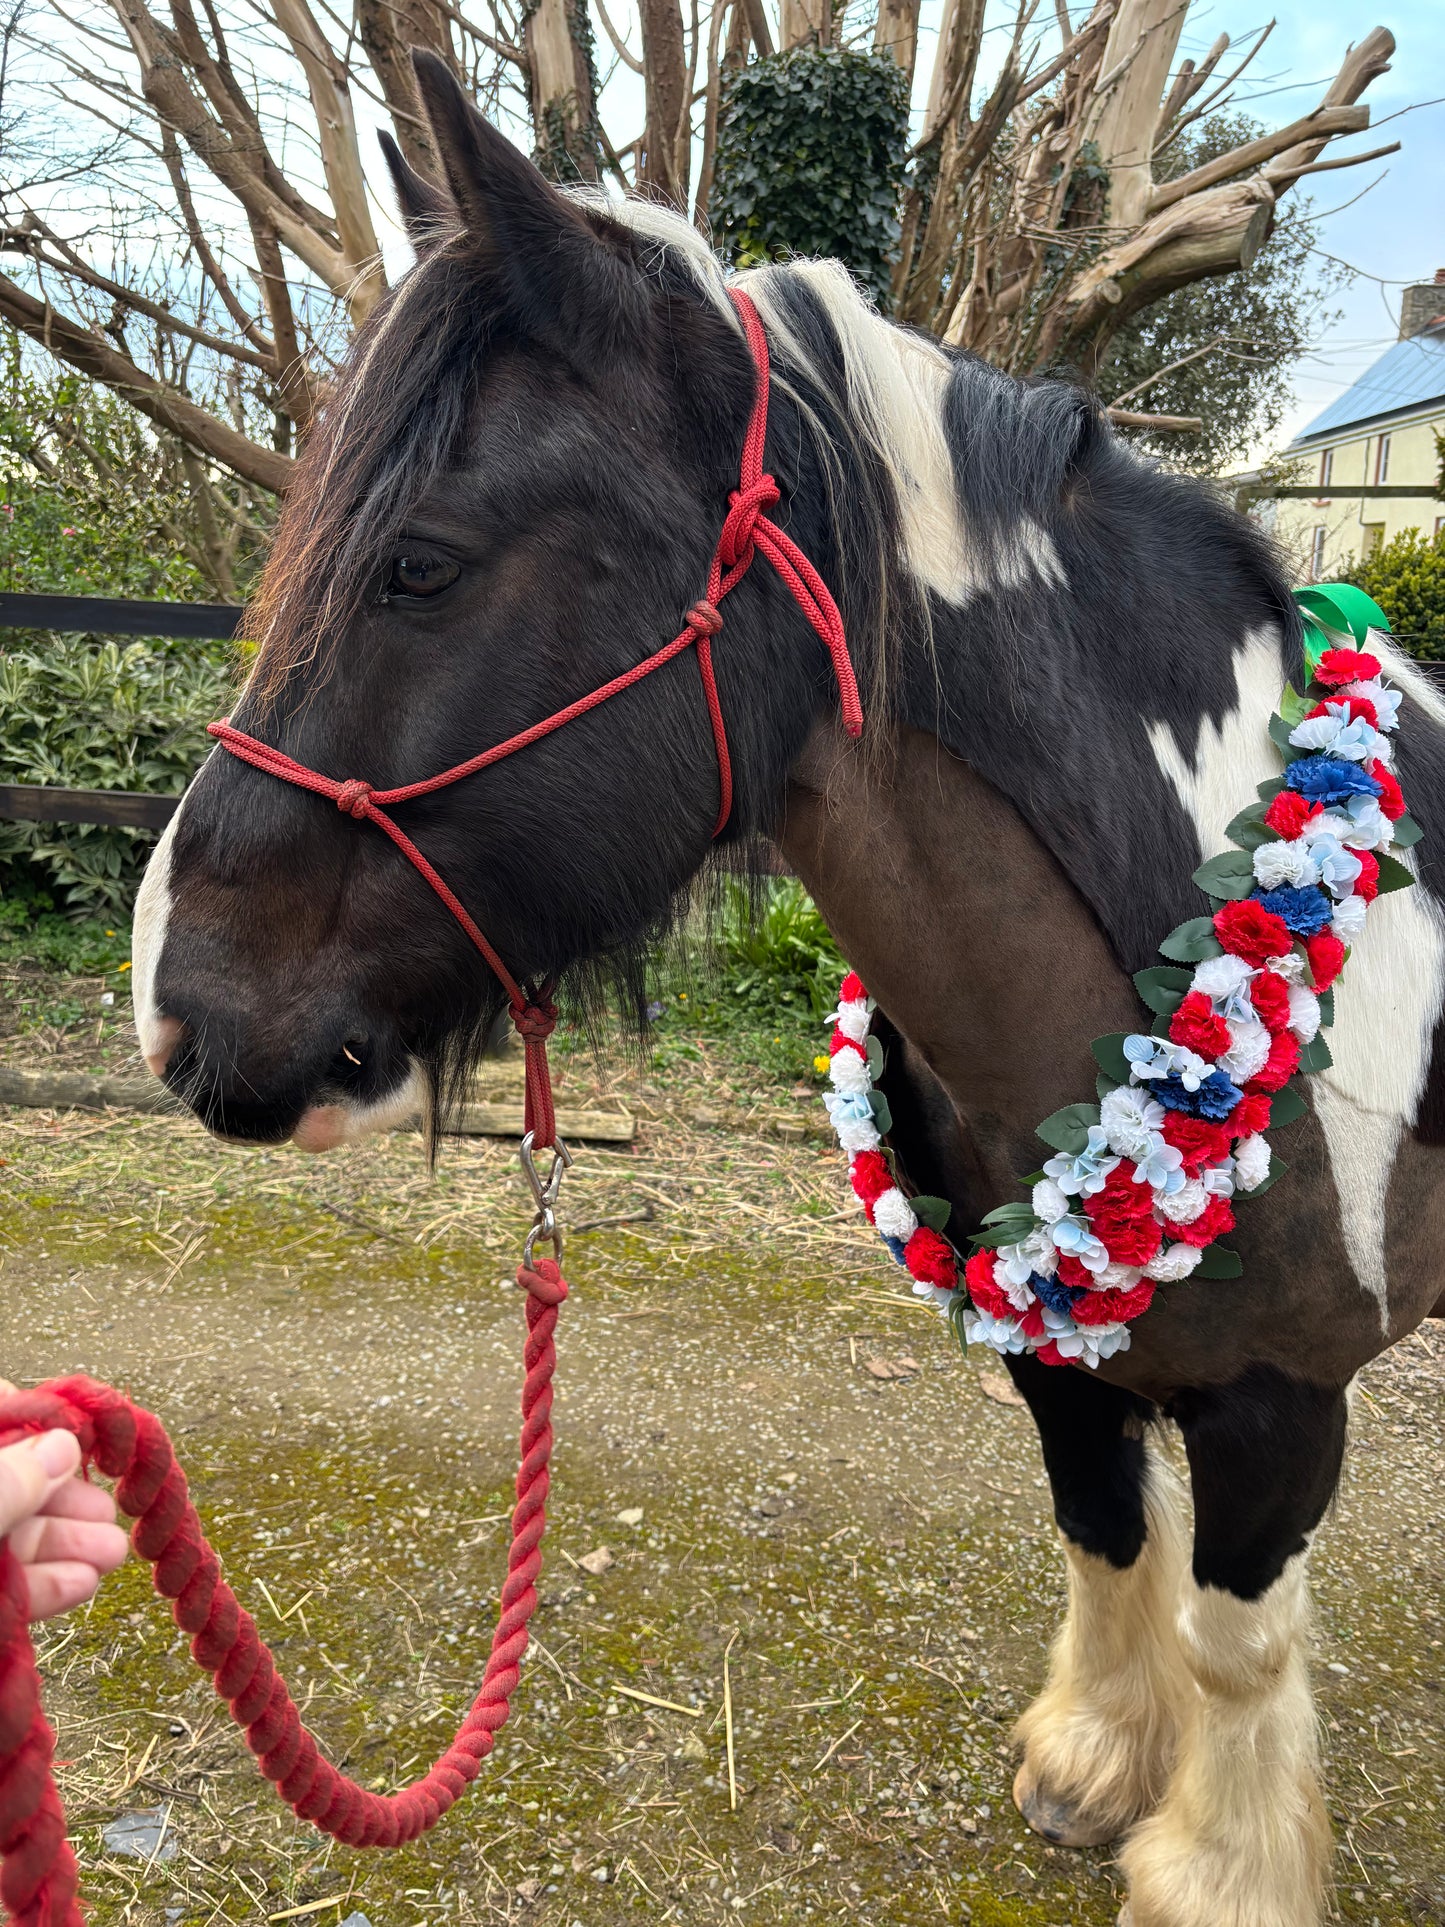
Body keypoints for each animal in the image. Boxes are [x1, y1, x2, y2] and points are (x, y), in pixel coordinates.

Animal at [129, 52, 1445, 1927]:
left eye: (421, 564)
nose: (171, 1009)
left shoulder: (1282, 1398)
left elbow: (1236, 1639)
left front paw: (1216, 1867)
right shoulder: (1054, 1346)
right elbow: (1107, 1530)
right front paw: (1098, 1760)